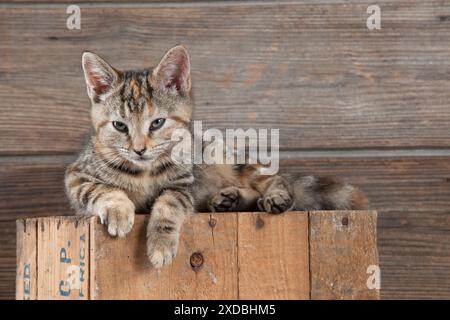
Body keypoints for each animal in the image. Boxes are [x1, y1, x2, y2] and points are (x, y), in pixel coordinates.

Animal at [64, 45, 193, 268]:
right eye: (120, 125)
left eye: (157, 123)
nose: (139, 150)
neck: (144, 173)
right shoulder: (76, 175)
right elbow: (99, 188)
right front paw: (118, 211)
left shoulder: (186, 184)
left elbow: (171, 202)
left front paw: (161, 244)